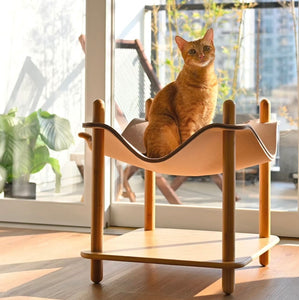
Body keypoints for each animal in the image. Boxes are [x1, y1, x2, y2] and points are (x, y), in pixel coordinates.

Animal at [145, 28, 218, 158]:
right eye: (192, 51)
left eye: (206, 48)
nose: (201, 55)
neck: (205, 82)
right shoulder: (186, 121)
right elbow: (188, 141)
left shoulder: (208, 119)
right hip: (167, 121)